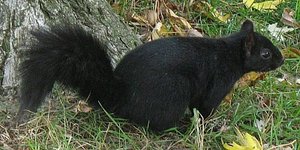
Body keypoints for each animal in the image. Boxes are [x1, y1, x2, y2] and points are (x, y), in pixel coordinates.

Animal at [15, 20, 284, 131]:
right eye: (265, 54)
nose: (281, 60)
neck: (230, 53)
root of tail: (122, 96)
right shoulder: (218, 81)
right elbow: (205, 107)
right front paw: (211, 126)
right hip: (174, 90)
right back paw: (174, 129)